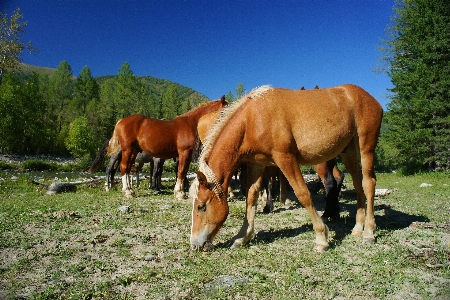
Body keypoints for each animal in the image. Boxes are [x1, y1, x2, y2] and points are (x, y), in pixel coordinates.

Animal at [190, 85, 384, 252]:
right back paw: (358, 228)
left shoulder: (285, 159)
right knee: (358, 185)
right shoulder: (257, 164)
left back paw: (369, 232)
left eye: (201, 206)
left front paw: (321, 237)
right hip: (349, 152)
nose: (195, 244)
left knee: (369, 184)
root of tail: (368, 97)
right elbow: (251, 197)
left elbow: (303, 194)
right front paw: (242, 236)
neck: (253, 118)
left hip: (366, 148)